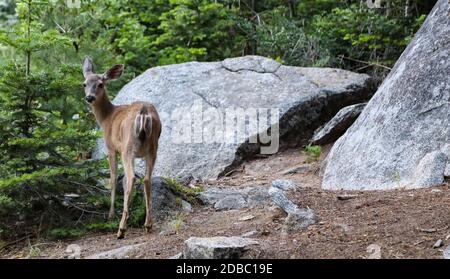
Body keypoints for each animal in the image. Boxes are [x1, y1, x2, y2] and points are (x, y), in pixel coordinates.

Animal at [81, 58, 162, 240]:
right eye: (84, 84)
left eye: (100, 84)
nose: (89, 97)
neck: (106, 118)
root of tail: (143, 113)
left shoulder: (111, 148)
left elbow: (112, 179)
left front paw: (111, 214)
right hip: (153, 147)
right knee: (146, 179)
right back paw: (148, 225)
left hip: (127, 148)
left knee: (131, 178)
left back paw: (121, 229)